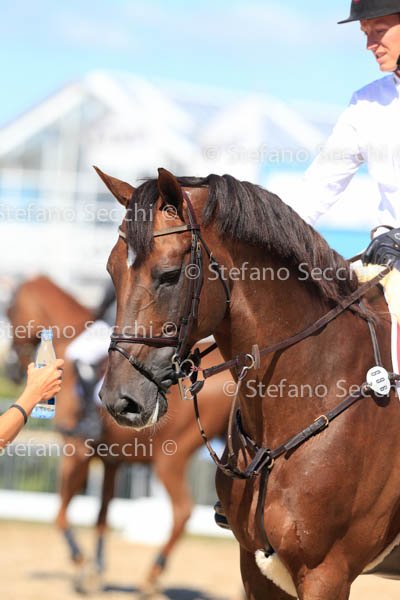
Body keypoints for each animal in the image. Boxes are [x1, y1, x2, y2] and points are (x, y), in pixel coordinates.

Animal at [6, 275, 232, 591]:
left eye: (10, 310)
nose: (12, 372)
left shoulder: (76, 451)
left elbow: (60, 513)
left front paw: (81, 565)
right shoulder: (111, 460)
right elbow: (102, 514)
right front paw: (97, 569)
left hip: (169, 458)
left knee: (183, 511)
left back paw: (151, 577)